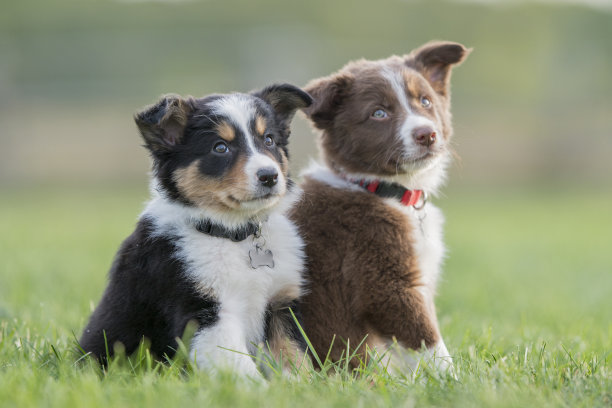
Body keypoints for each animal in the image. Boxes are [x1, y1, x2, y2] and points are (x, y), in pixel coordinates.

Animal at [77, 83, 310, 380]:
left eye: (268, 140)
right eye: (220, 147)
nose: (269, 176)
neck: (235, 234)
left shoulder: (281, 304)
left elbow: (294, 356)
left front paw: (303, 384)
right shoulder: (204, 310)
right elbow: (240, 366)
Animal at [290, 41, 470, 372]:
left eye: (425, 101)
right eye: (379, 113)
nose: (427, 134)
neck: (384, 190)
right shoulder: (382, 279)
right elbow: (429, 341)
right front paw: (456, 378)